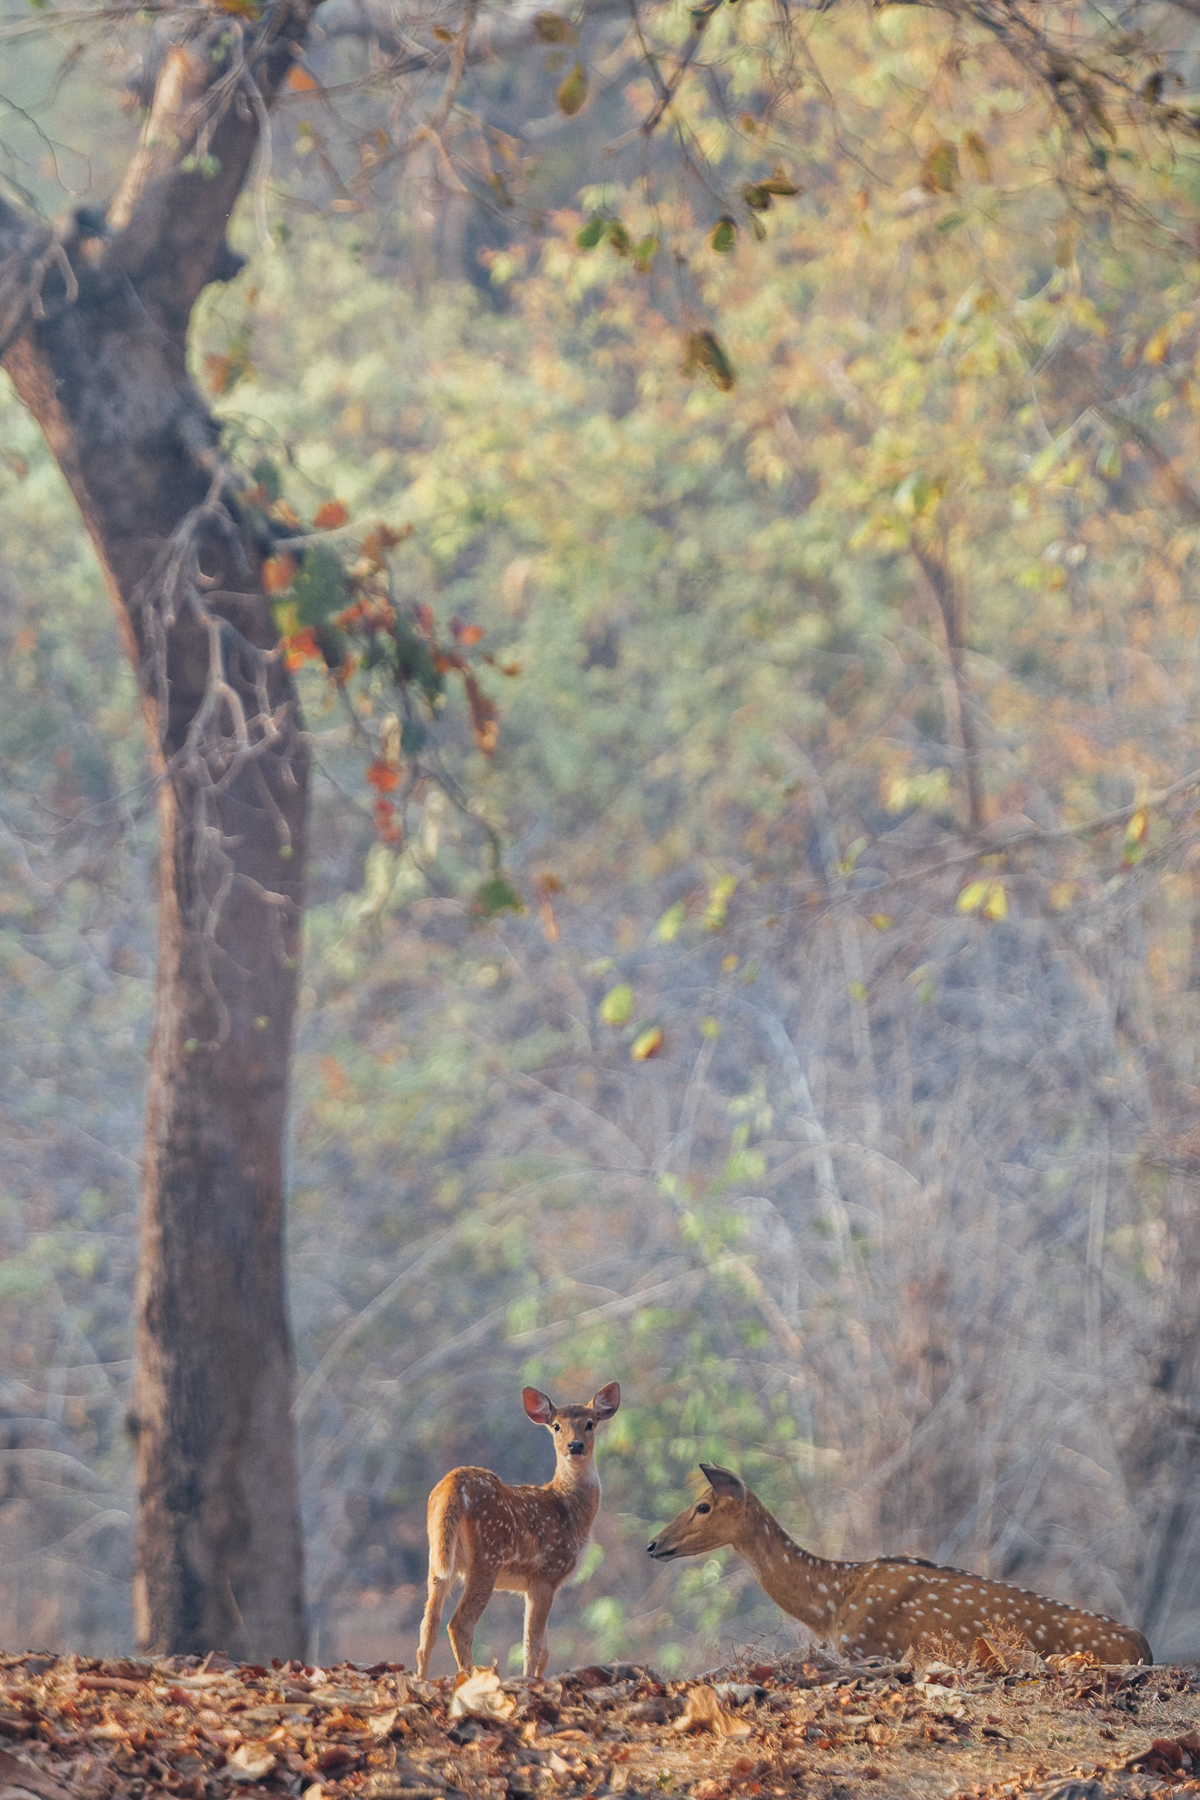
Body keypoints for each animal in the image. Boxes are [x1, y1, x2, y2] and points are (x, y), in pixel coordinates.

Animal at [416, 1381, 621, 1679]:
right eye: (556, 1426)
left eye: (590, 1423)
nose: (575, 1445)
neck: (569, 1510)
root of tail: (453, 1484)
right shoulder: (546, 1573)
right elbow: (533, 1644)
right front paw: (529, 1680)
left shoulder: (531, 1584)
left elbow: (543, 1648)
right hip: (487, 1557)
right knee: (459, 1623)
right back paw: (471, 1676)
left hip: (437, 1555)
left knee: (428, 1625)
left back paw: (421, 1678)